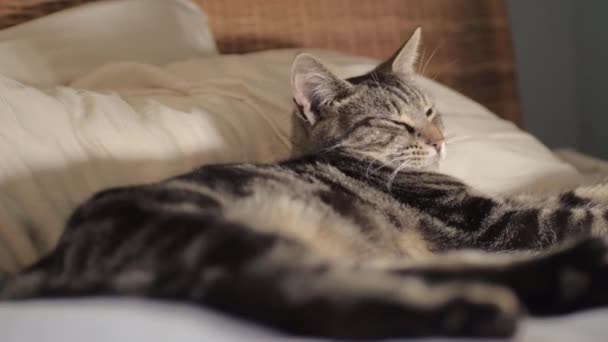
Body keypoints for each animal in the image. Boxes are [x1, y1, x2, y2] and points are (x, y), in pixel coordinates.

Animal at [3, 29, 608, 340]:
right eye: (397, 124)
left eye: (431, 109)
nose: (439, 140)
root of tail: (53, 257)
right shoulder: (495, 223)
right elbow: (572, 208)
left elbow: (579, 193)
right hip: (212, 237)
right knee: (296, 295)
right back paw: (481, 309)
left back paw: (566, 278)